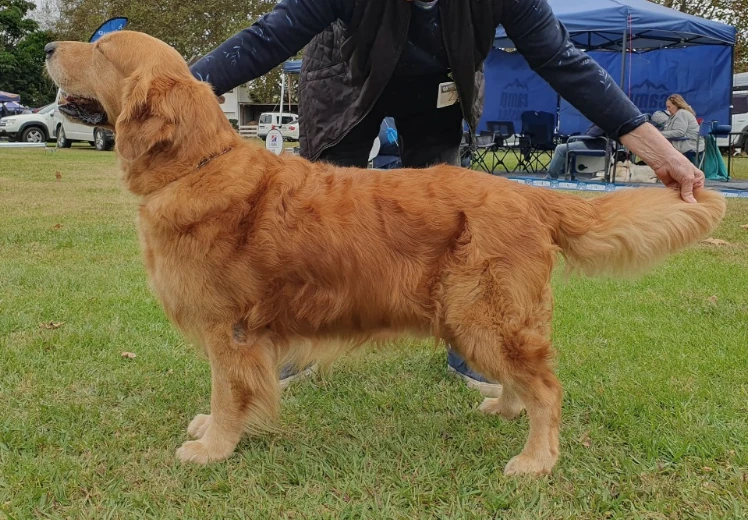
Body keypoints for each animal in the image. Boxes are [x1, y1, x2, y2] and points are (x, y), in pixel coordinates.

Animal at [45, 29, 724, 476]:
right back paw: (502, 407)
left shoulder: (229, 329)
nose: (51, 49)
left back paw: (535, 460)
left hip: (483, 314)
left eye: (101, 51)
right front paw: (211, 433)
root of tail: (527, 194)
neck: (197, 165)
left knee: (548, 390)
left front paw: (213, 447)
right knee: (526, 381)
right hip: (482, 318)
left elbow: (228, 394)